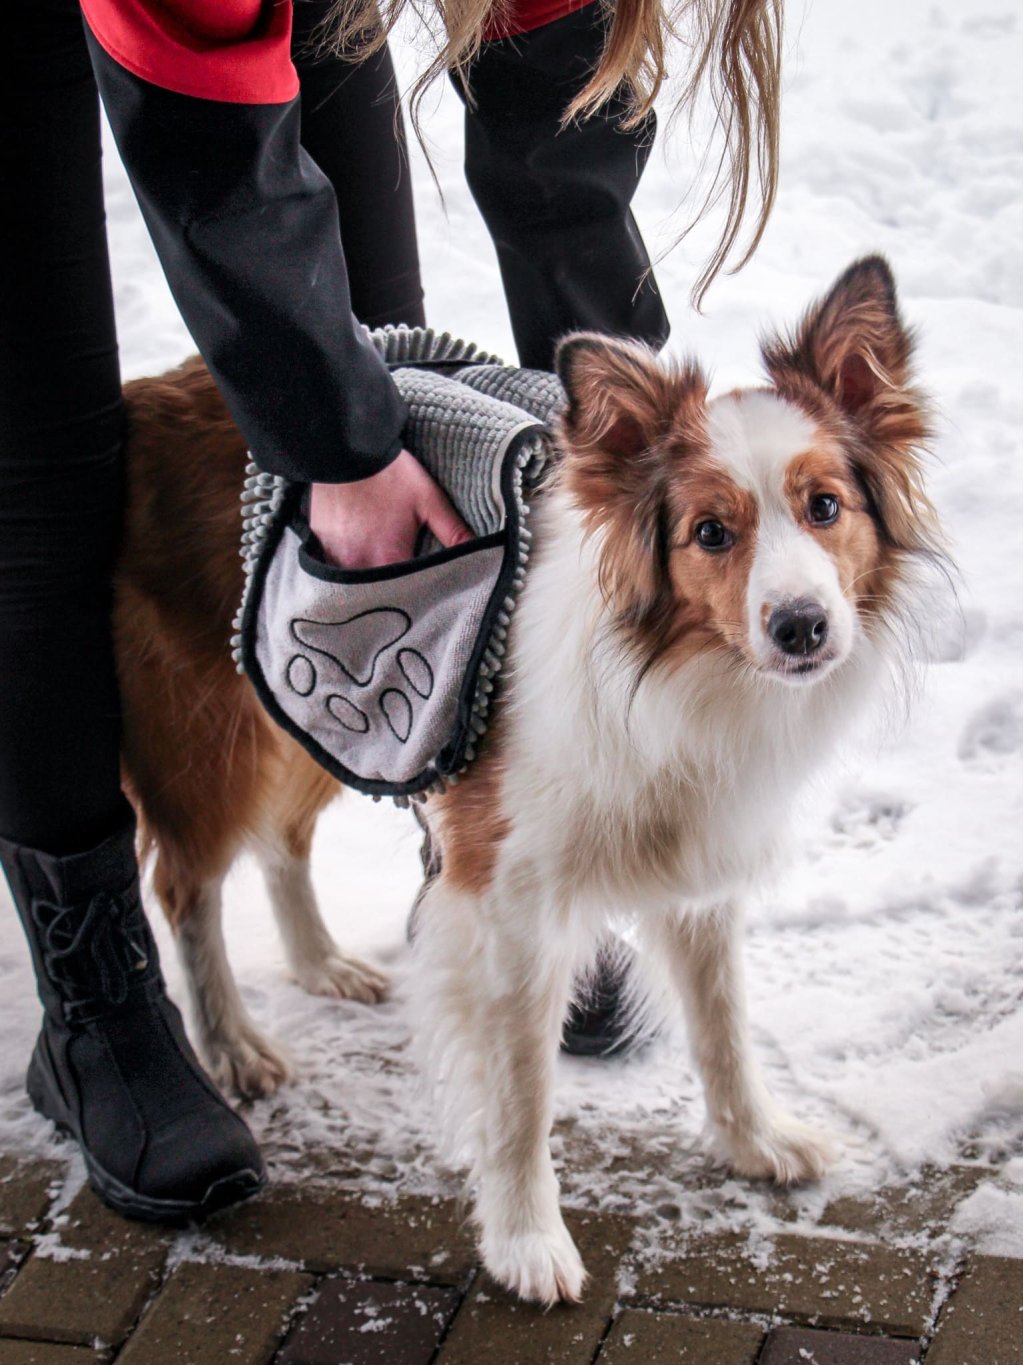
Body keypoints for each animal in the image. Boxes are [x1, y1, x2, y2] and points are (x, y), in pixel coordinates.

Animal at [116, 260, 944, 1304]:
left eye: (825, 507)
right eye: (712, 532)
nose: (802, 627)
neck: (673, 674)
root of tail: (144, 397)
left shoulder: (699, 861)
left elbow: (722, 1024)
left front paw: (753, 1140)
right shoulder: (507, 903)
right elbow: (520, 1094)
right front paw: (524, 1240)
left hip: (323, 712)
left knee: (284, 844)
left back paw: (321, 962)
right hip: (213, 735)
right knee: (187, 885)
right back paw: (230, 1043)